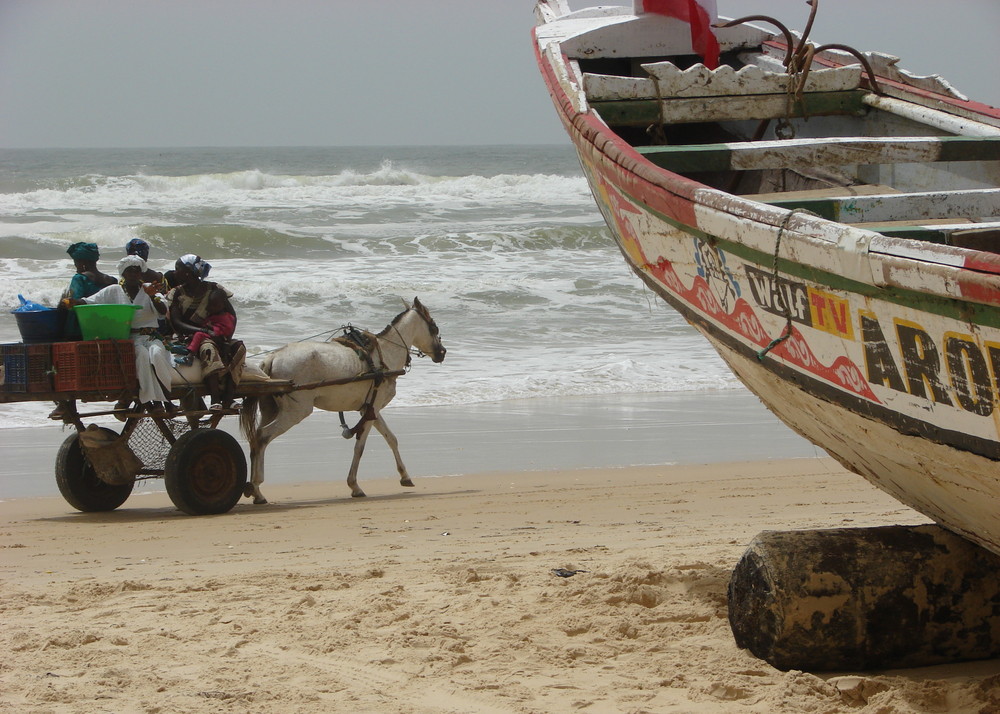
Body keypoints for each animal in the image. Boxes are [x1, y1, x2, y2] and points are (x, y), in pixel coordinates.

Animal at [238, 294, 446, 500]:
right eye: (434, 326)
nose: (442, 353)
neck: (384, 354)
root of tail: (272, 357)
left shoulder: (370, 409)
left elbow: (391, 438)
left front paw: (405, 476)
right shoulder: (372, 410)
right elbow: (360, 447)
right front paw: (354, 485)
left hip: (270, 410)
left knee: (255, 440)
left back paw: (254, 488)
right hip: (297, 411)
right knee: (262, 437)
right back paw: (257, 487)